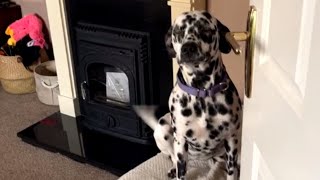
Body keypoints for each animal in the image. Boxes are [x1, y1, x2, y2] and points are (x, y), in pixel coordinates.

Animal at [133, 10, 242, 179]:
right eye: (178, 31)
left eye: (205, 29)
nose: (188, 48)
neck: (202, 93)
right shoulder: (181, 141)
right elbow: (180, 169)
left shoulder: (232, 140)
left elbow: (231, 172)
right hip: (163, 128)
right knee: (172, 157)